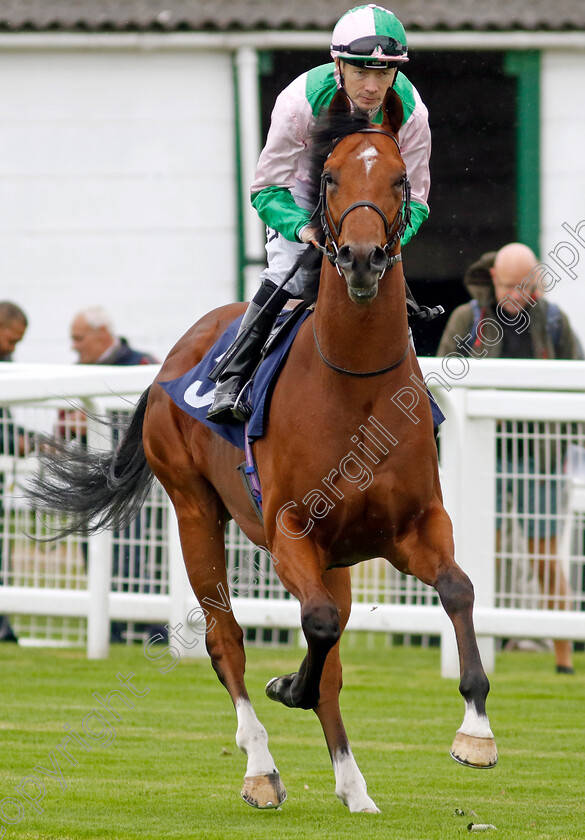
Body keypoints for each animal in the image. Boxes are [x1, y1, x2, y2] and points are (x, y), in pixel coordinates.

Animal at [28, 87, 492, 812]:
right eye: (328, 178)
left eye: (397, 180)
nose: (361, 258)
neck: (355, 384)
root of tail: (175, 356)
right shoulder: (288, 530)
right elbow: (319, 626)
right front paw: (286, 689)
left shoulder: (413, 525)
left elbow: (455, 589)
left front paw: (475, 730)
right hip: (194, 510)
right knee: (228, 641)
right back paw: (261, 769)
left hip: (332, 554)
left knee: (331, 655)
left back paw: (354, 788)